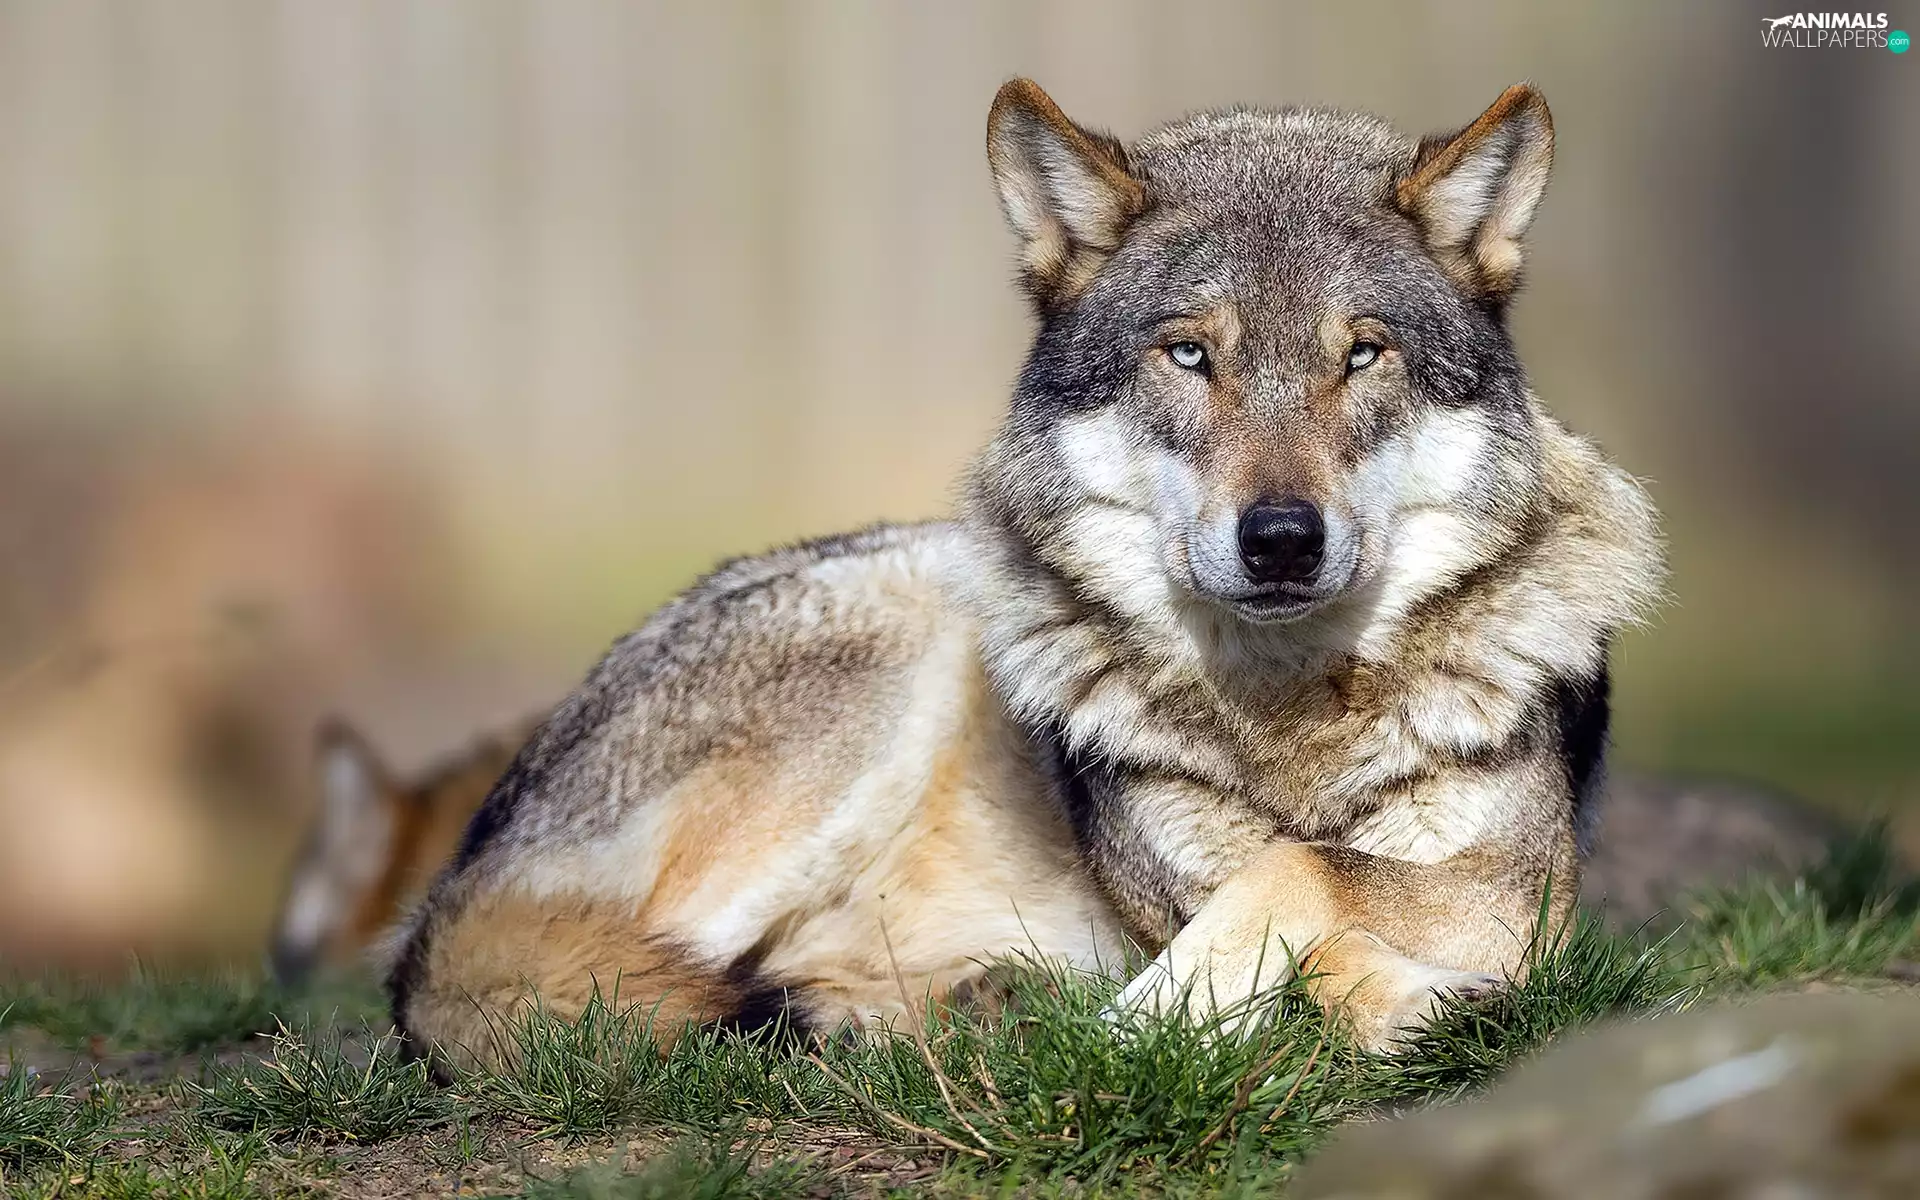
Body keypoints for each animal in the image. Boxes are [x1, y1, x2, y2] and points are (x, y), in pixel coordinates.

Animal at [388, 78, 1664, 1067]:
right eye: (1189, 355)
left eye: (1362, 356)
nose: (1282, 539)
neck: (1288, 717)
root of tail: (466, 864)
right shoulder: (1183, 887)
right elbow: (1295, 887)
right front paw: (1183, 1013)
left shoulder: (1524, 889)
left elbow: (1305, 875)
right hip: (887, 657)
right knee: (565, 989)